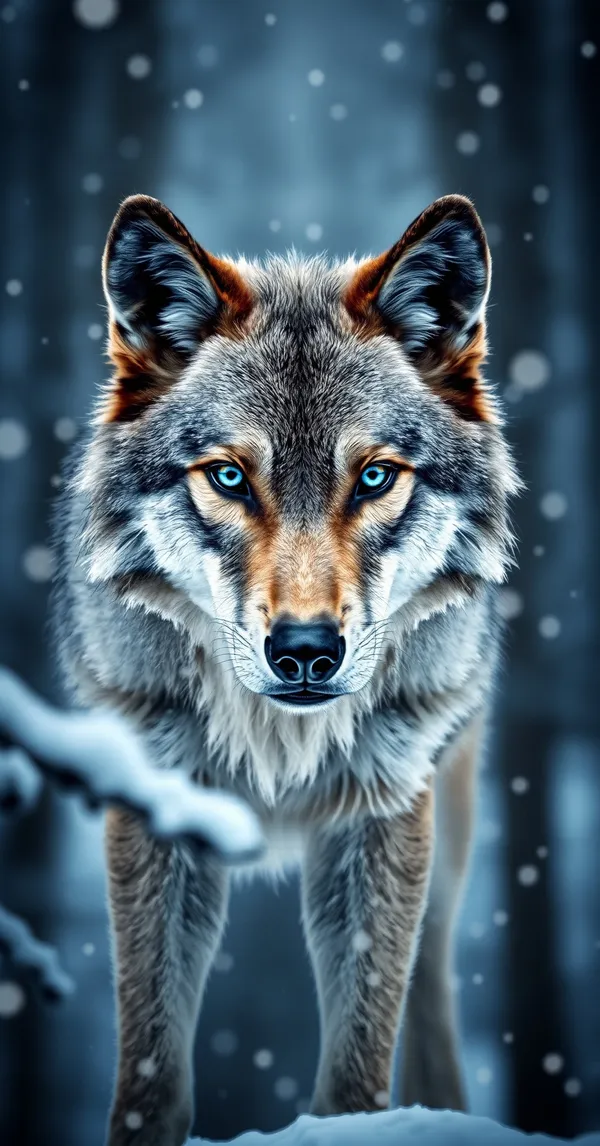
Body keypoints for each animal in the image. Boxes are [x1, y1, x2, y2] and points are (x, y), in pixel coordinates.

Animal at [52, 191, 518, 1145]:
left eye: (374, 477)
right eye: (230, 477)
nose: (306, 651)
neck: (278, 744)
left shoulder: (381, 818)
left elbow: (360, 1058)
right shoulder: (154, 811)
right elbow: (150, 1061)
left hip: (447, 826)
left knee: (430, 989)